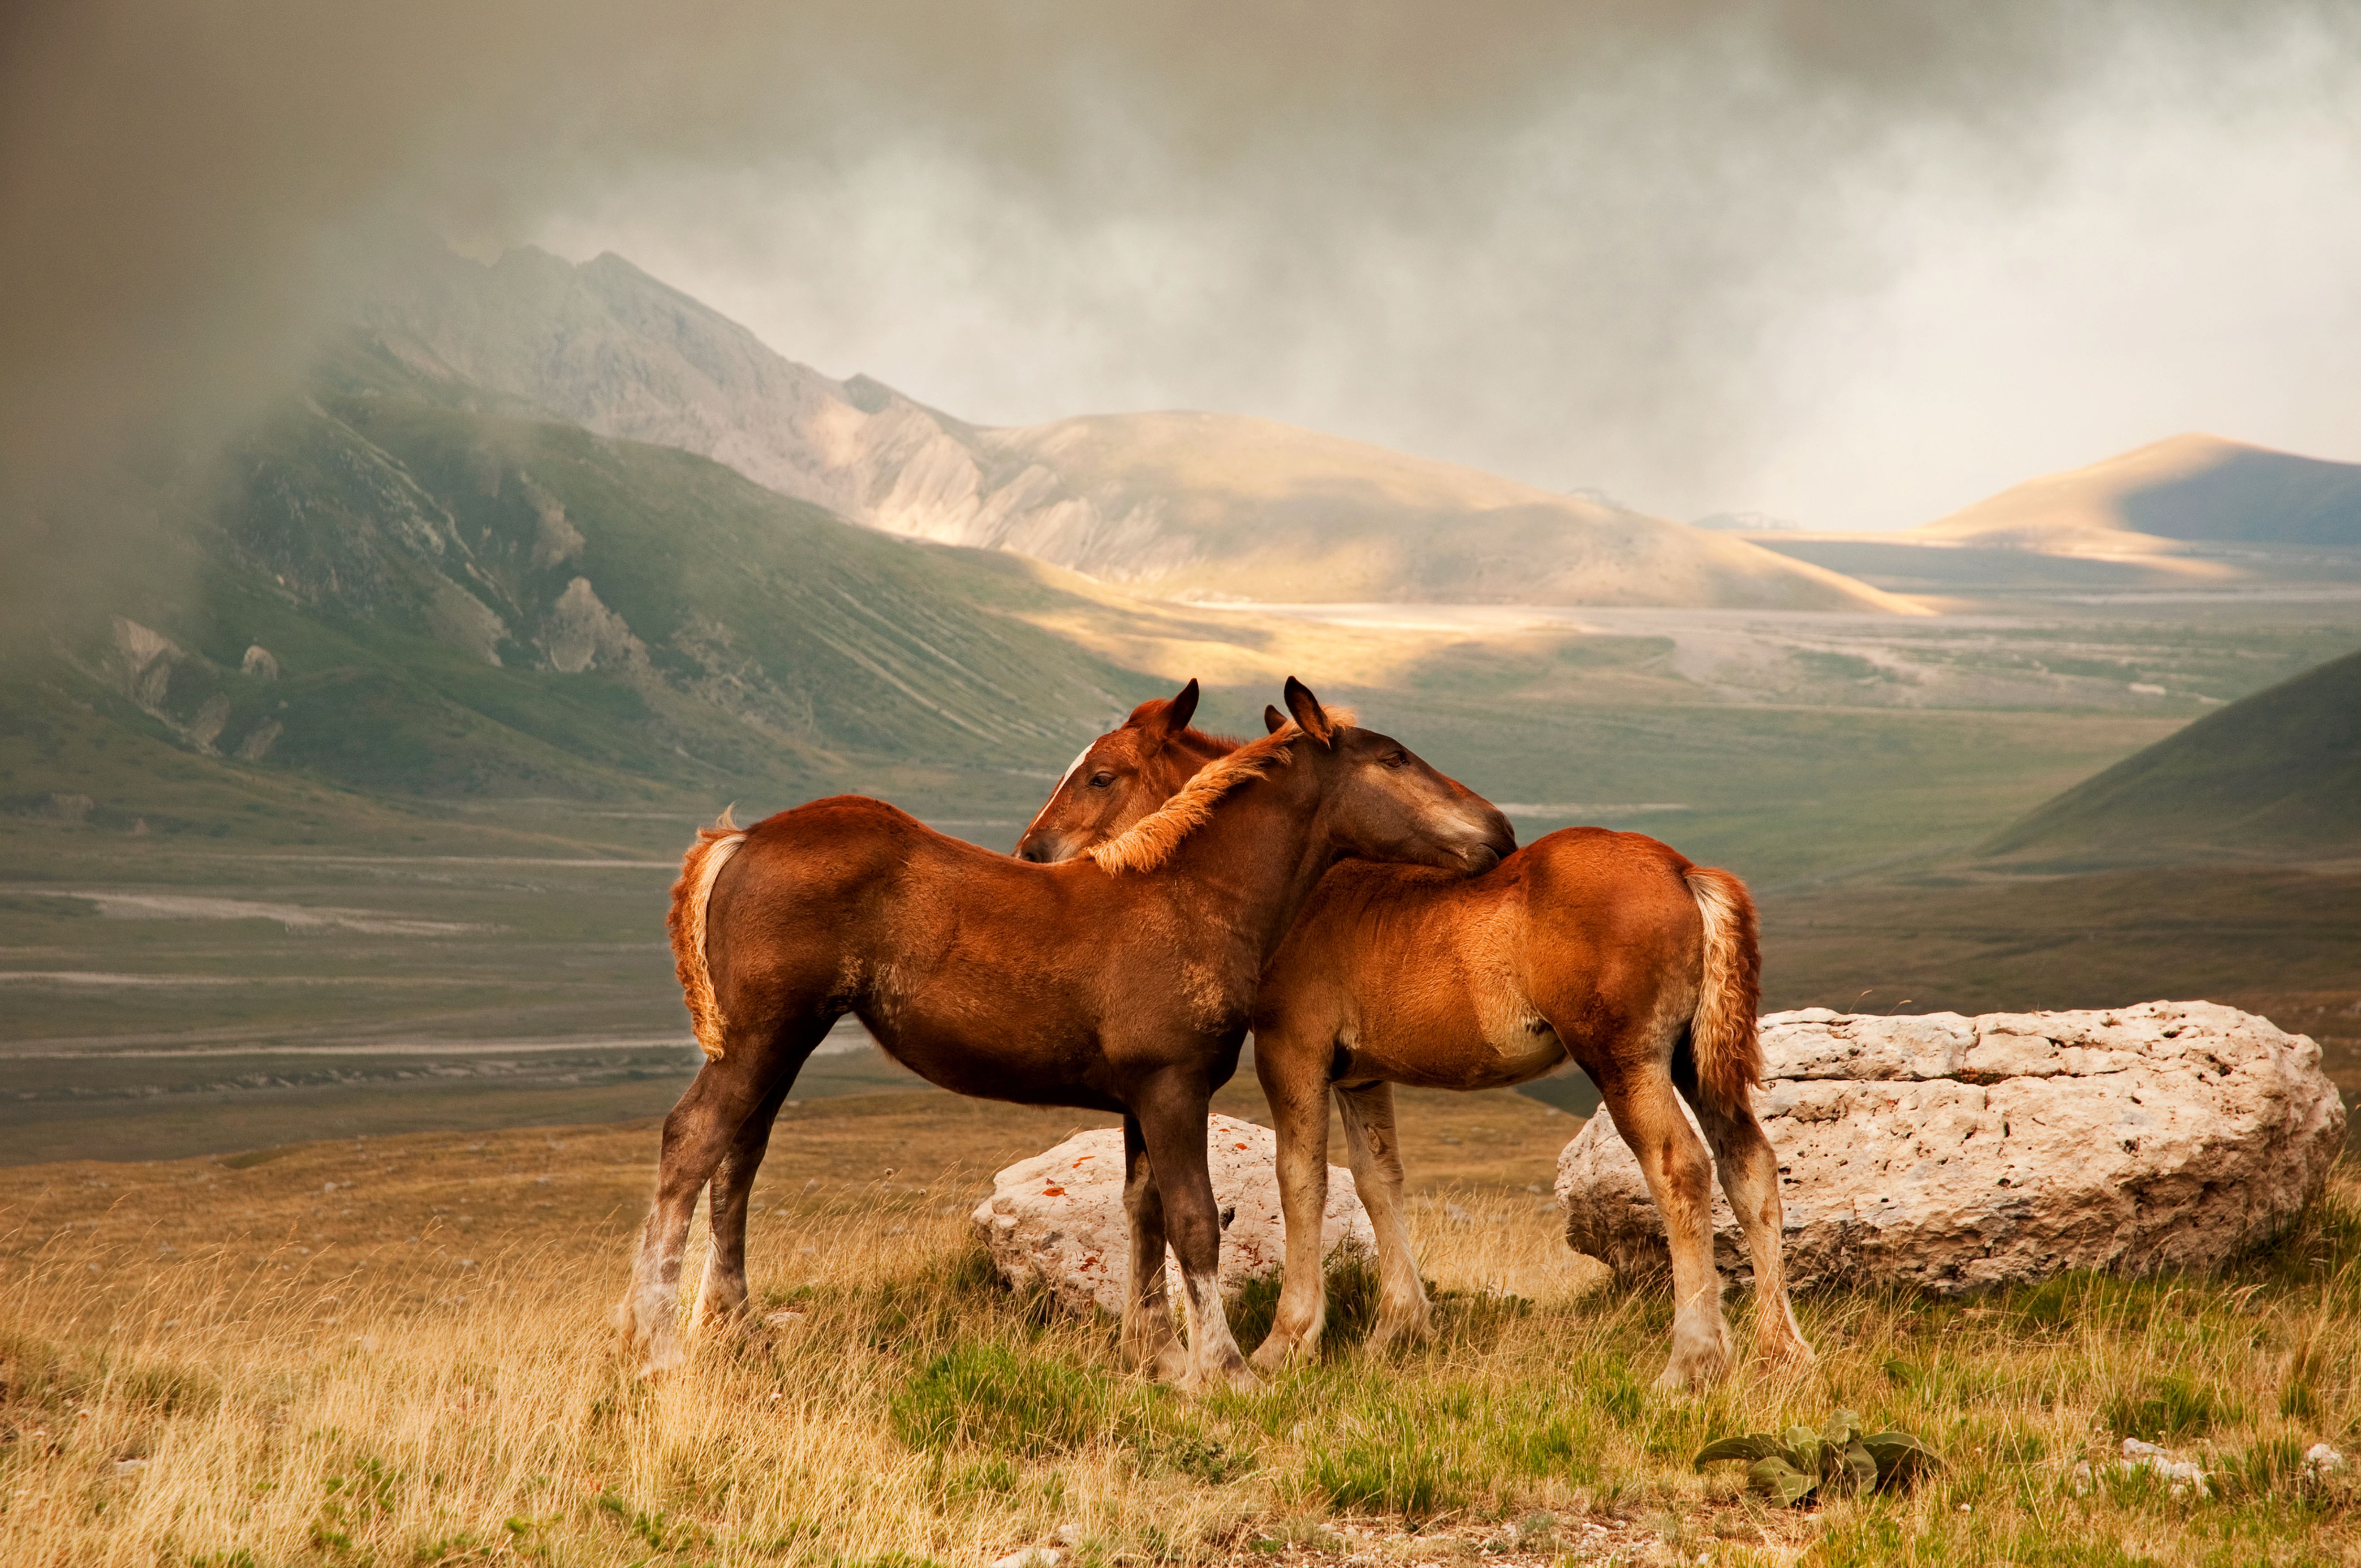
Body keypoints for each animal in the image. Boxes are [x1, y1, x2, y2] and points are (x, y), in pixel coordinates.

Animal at [618, 680, 1511, 1388]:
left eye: (1103, 774)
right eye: (1394, 758)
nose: (1499, 829)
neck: (1190, 895)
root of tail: (743, 838)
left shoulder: (1140, 1098)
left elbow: (1143, 1210)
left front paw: (1158, 1359)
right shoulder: (1172, 1087)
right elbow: (1194, 1222)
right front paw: (1223, 1370)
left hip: (782, 1044)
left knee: (739, 1160)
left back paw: (735, 1328)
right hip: (761, 1039)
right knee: (692, 1142)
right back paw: (656, 1346)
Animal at [1015, 680, 1804, 1388]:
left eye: (1100, 776)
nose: (1031, 853)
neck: (1301, 888)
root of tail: (1683, 870)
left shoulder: (1291, 1052)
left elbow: (1300, 1180)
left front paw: (1287, 1342)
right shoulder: (1362, 1073)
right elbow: (1378, 1181)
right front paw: (1398, 1329)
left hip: (1624, 1060)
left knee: (1681, 1169)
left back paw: (1692, 1361)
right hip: (1694, 1062)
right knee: (1749, 1166)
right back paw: (1782, 1353)